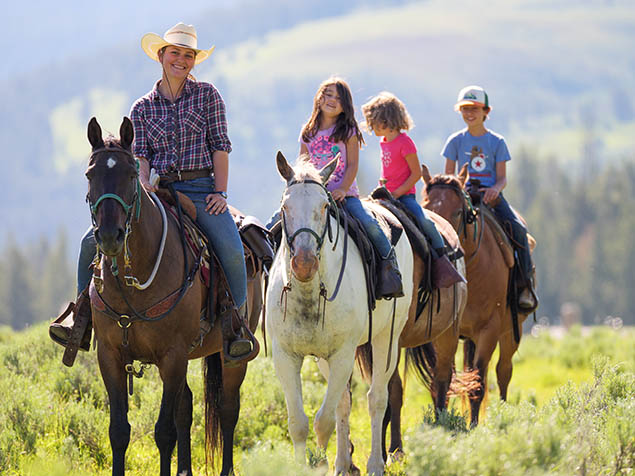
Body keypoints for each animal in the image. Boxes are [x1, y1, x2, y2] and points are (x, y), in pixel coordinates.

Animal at [86, 116, 260, 476]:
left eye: (130, 174)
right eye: (89, 175)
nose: (109, 236)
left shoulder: (173, 355)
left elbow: (164, 431)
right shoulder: (109, 355)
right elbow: (119, 431)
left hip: (232, 355)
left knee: (227, 409)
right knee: (187, 406)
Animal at [422, 165, 536, 426]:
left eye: (457, 212)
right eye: (427, 207)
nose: (442, 242)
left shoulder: (489, 331)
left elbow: (478, 383)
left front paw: (474, 426)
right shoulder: (445, 333)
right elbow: (444, 380)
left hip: (511, 331)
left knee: (504, 371)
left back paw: (503, 411)